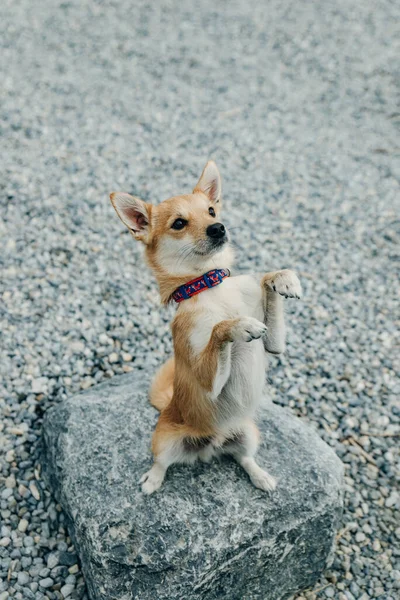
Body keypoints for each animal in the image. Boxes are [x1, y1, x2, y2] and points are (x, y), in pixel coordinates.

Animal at [109, 162, 300, 494]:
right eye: (179, 223)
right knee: (161, 462)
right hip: (164, 439)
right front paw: (239, 325)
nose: (218, 227)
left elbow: (265, 281)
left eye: (211, 211)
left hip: (249, 432)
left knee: (244, 458)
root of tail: (209, 447)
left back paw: (260, 476)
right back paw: (152, 481)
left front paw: (284, 278)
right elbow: (219, 329)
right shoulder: (207, 381)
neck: (210, 285)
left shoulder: (274, 344)